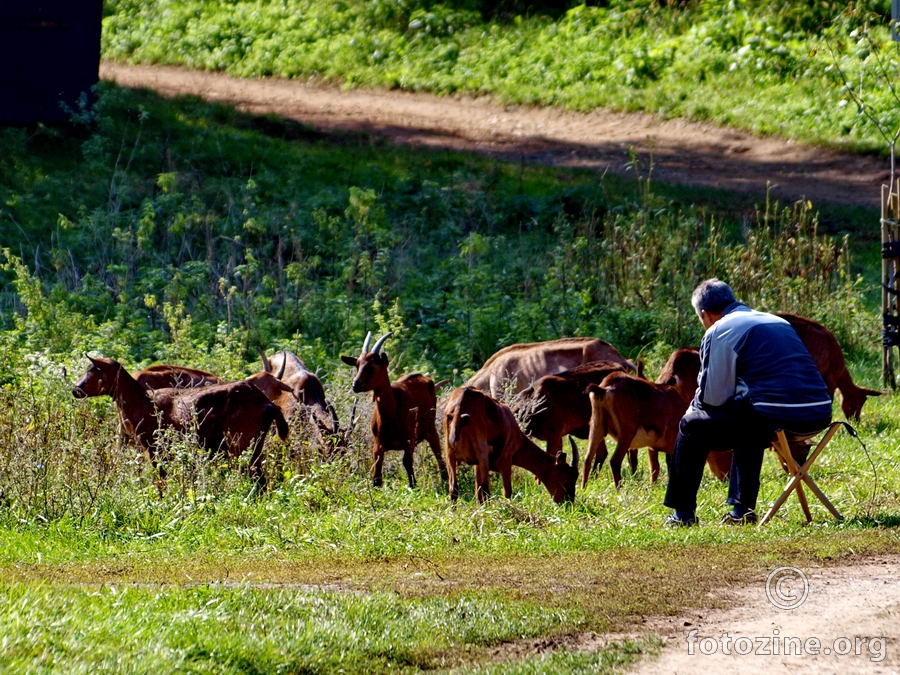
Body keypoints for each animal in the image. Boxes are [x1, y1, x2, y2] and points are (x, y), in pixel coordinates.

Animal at [72, 356, 286, 484]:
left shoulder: (154, 448)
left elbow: (161, 480)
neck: (142, 401)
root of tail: (267, 403)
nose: (75, 389)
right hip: (253, 445)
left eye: (93, 371)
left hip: (241, 444)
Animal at [340, 332, 448, 486]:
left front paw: (413, 485)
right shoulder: (378, 445)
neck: (392, 415)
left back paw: (445, 481)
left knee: (439, 454)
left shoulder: (410, 440)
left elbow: (407, 464)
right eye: (357, 365)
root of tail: (423, 377)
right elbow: (377, 477)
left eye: (373, 366)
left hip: (430, 428)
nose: (355, 385)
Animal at [442, 388, 576, 504]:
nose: (568, 503)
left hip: (450, 456)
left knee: (454, 489)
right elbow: (507, 492)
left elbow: (479, 494)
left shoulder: (477, 465)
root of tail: (459, 408)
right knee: (486, 489)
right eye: (566, 478)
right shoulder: (505, 461)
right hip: (482, 455)